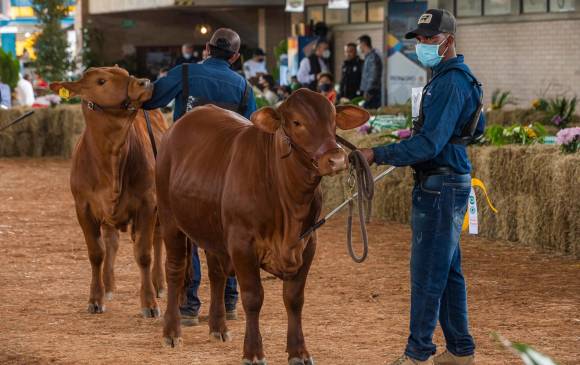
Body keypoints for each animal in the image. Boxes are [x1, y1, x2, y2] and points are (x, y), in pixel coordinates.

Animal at [49, 67, 168, 318]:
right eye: (101, 81)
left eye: (126, 72)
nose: (145, 82)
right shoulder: (83, 207)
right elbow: (96, 253)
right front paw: (96, 298)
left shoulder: (147, 204)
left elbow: (144, 254)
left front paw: (149, 303)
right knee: (111, 242)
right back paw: (108, 285)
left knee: (157, 239)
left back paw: (159, 284)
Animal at [156, 87, 370, 362]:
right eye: (296, 122)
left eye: (333, 121)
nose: (337, 160)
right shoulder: (242, 245)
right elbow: (253, 298)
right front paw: (253, 352)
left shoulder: (308, 243)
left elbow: (294, 298)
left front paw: (299, 351)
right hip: (170, 219)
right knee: (174, 270)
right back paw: (172, 332)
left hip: (213, 232)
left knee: (216, 274)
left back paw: (218, 328)